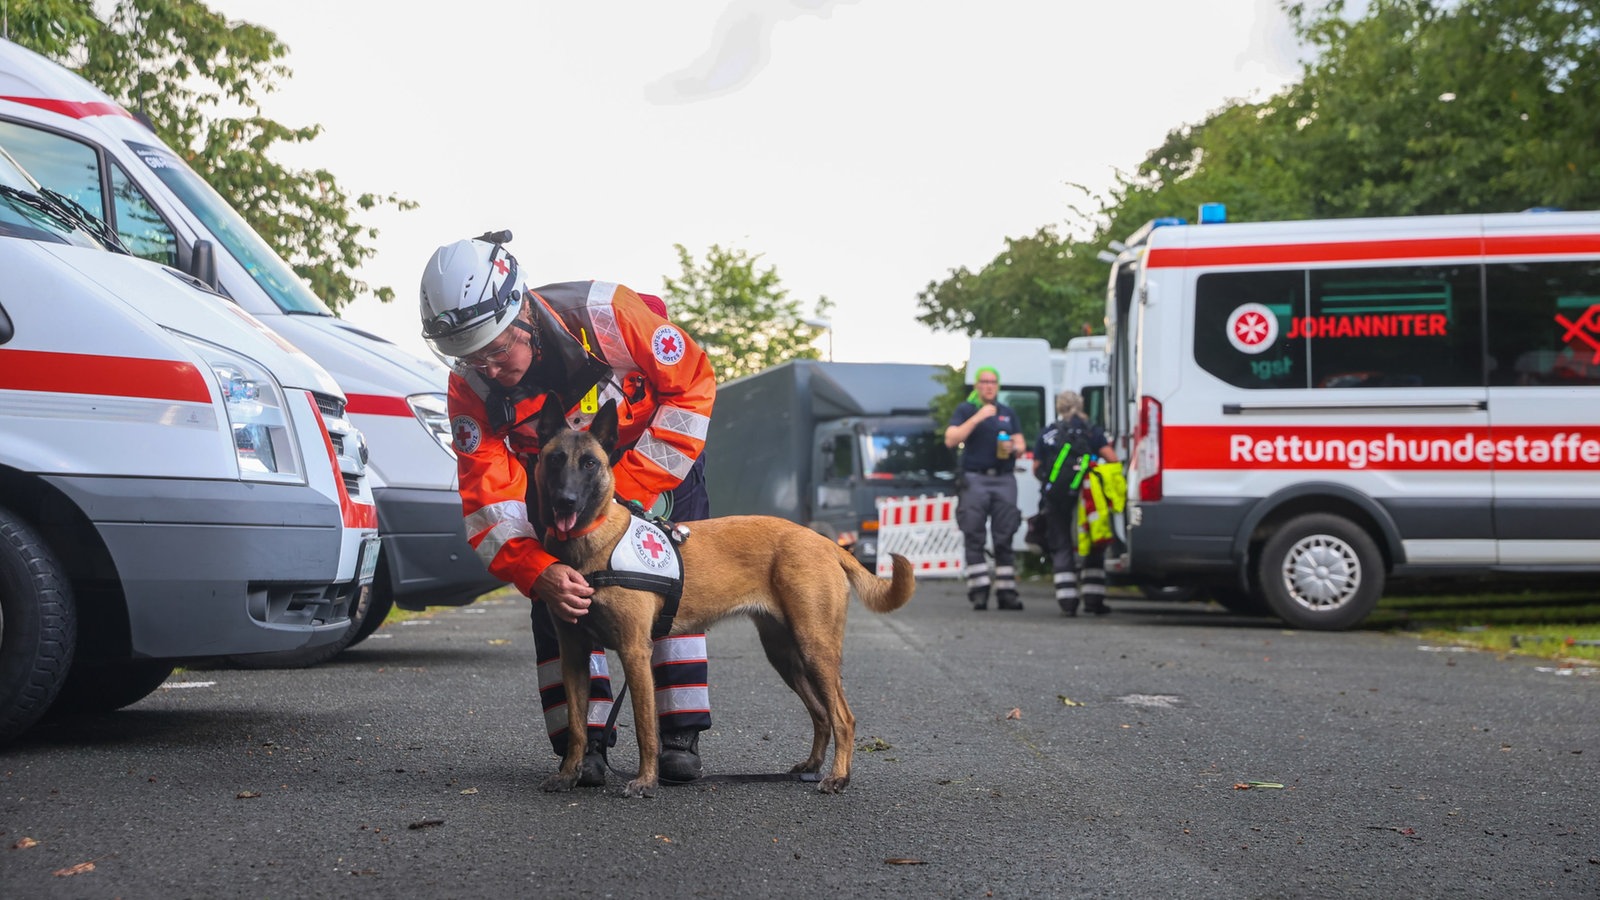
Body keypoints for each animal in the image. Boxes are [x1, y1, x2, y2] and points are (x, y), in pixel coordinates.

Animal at [534, 395, 915, 794]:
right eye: (555, 459)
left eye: (590, 463)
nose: (565, 501)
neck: (590, 545)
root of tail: (824, 542)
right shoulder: (573, 654)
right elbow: (577, 726)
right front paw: (569, 774)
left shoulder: (635, 651)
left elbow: (644, 726)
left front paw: (646, 781)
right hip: (787, 656)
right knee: (822, 714)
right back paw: (812, 765)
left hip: (815, 649)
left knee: (843, 716)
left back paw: (838, 776)